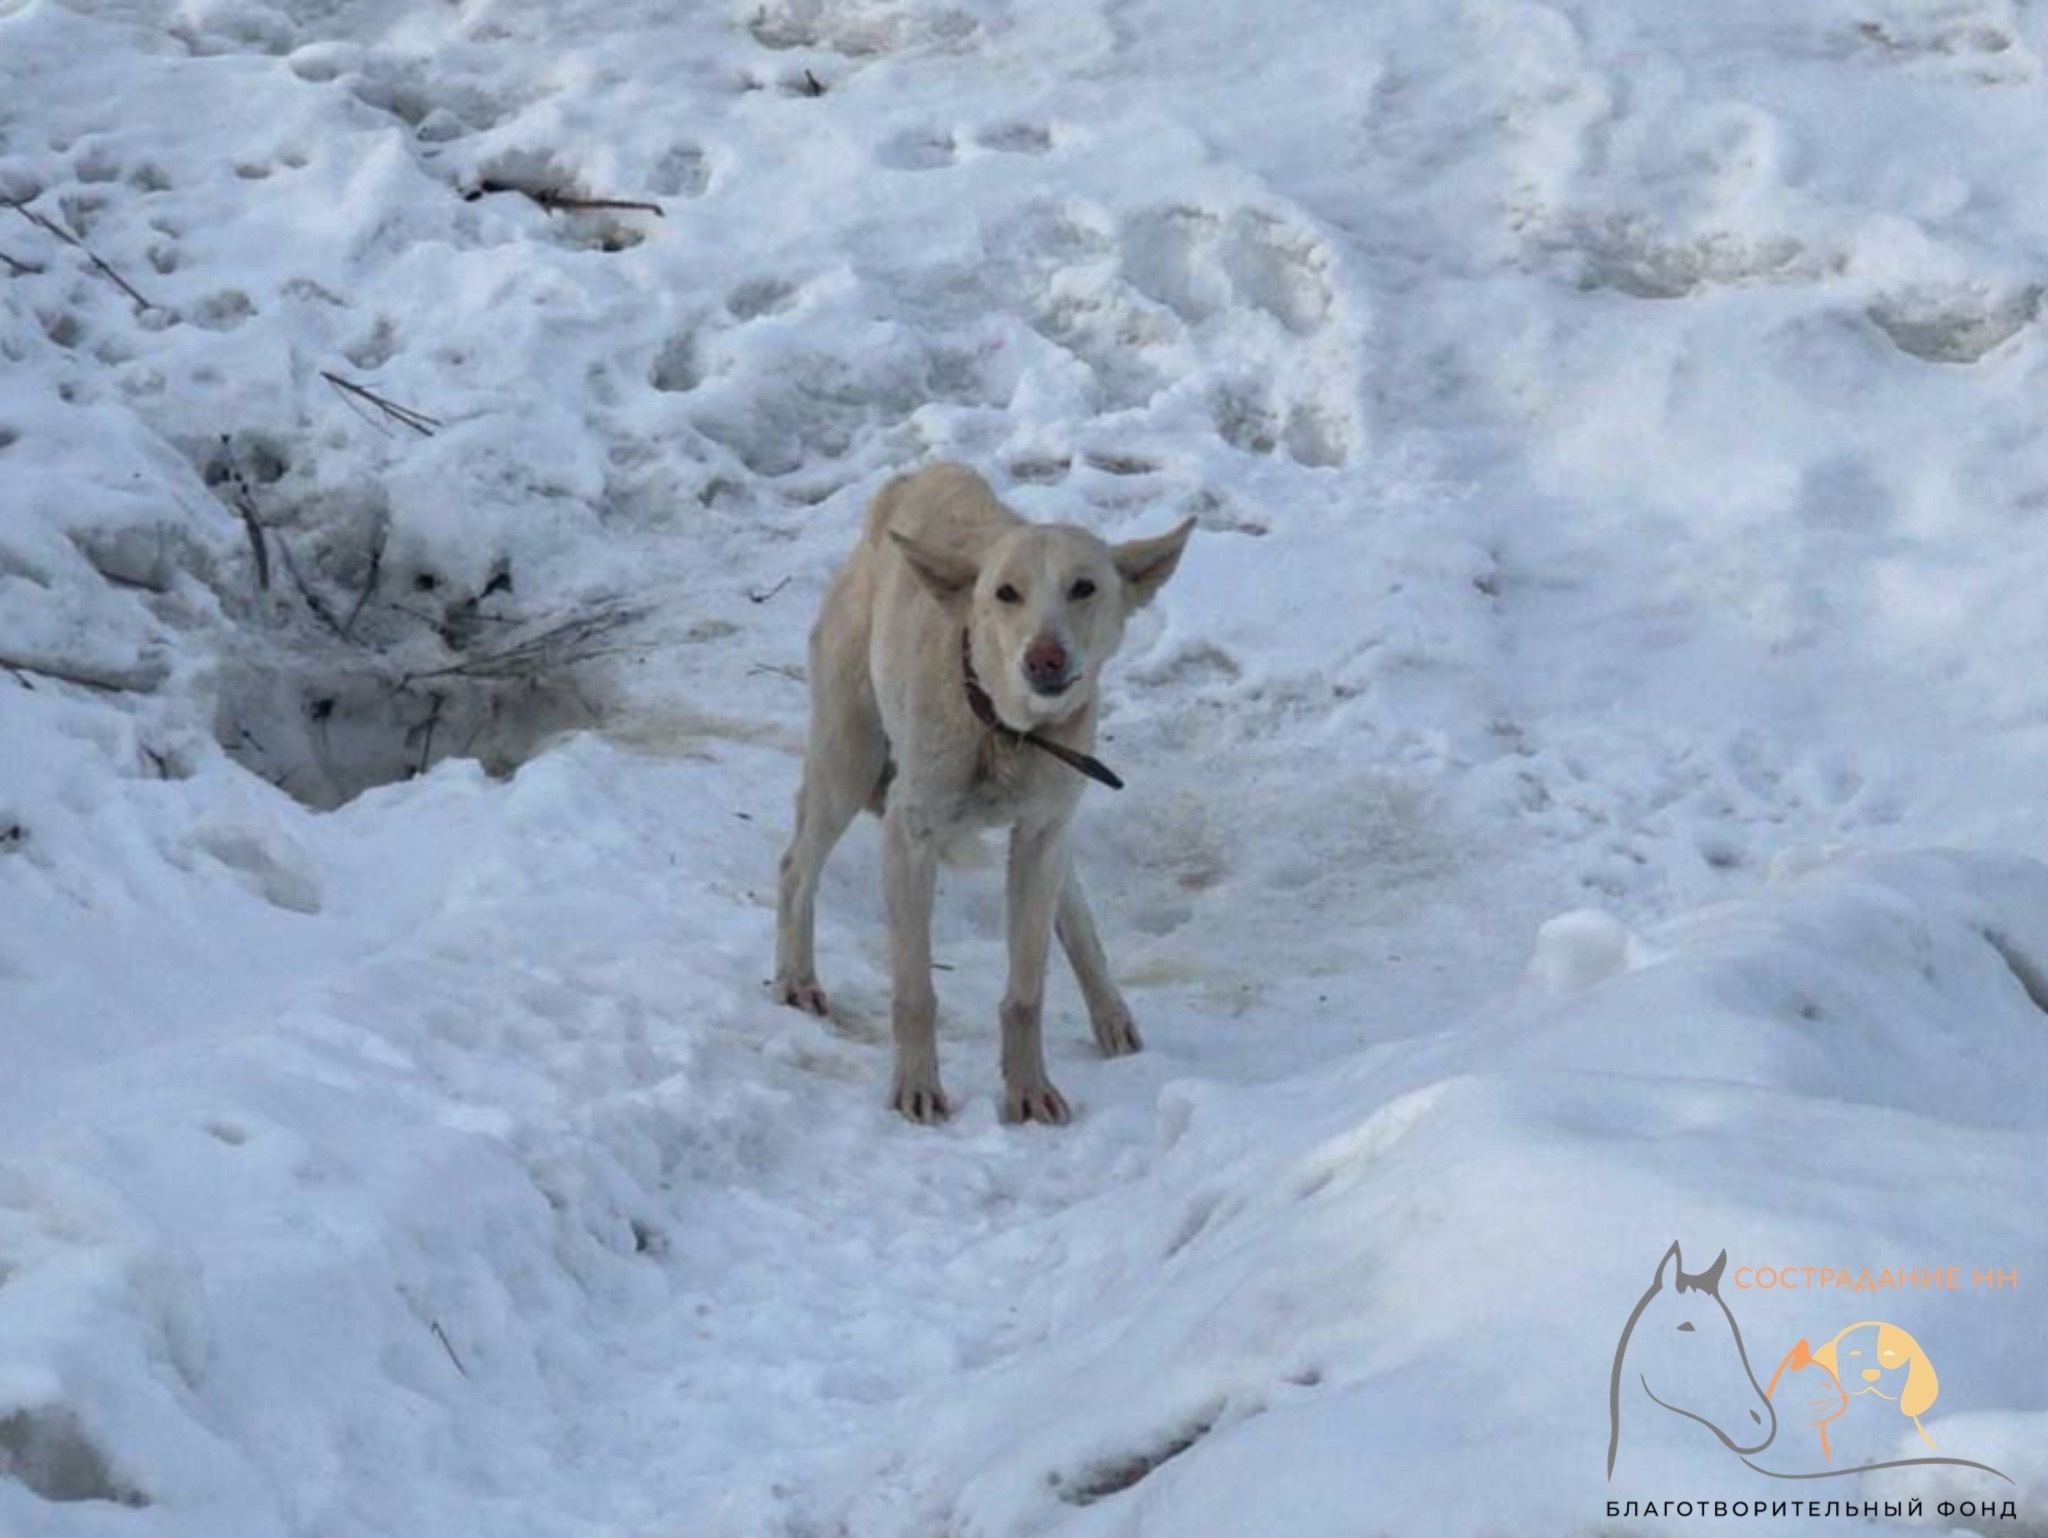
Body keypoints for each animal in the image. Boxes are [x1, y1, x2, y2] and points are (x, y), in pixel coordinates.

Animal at [770, 462, 1196, 1122]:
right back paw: (797, 979)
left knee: (1074, 916)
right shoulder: (909, 838)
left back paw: (1111, 1013)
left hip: (1049, 830)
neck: (1004, 731)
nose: (1044, 657)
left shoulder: (1041, 836)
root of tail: (909, 479)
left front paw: (1028, 1091)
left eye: (1083, 588)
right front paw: (917, 1090)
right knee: (795, 868)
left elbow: (1025, 990)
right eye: (1006, 593)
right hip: (848, 761)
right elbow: (915, 992)